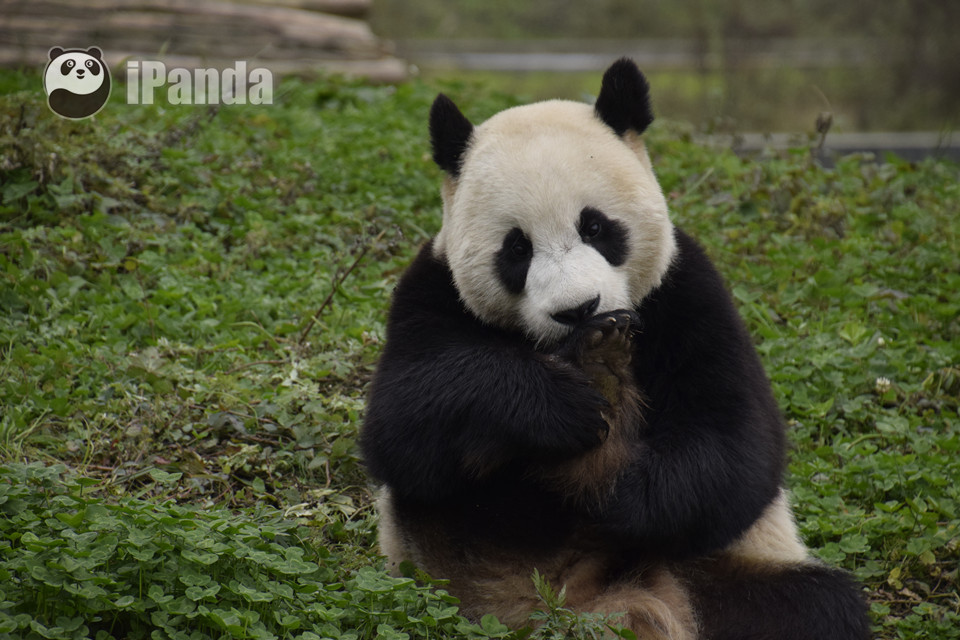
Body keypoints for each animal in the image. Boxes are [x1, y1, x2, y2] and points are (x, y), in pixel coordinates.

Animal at [360, 60, 872, 640]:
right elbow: (404, 423)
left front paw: (619, 497)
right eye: (517, 248)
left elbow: (736, 441)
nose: (579, 310)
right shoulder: (431, 291)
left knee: (816, 605)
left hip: (723, 575)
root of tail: (586, 600)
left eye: (596, 226)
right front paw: (561, 406)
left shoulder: (686, 291)